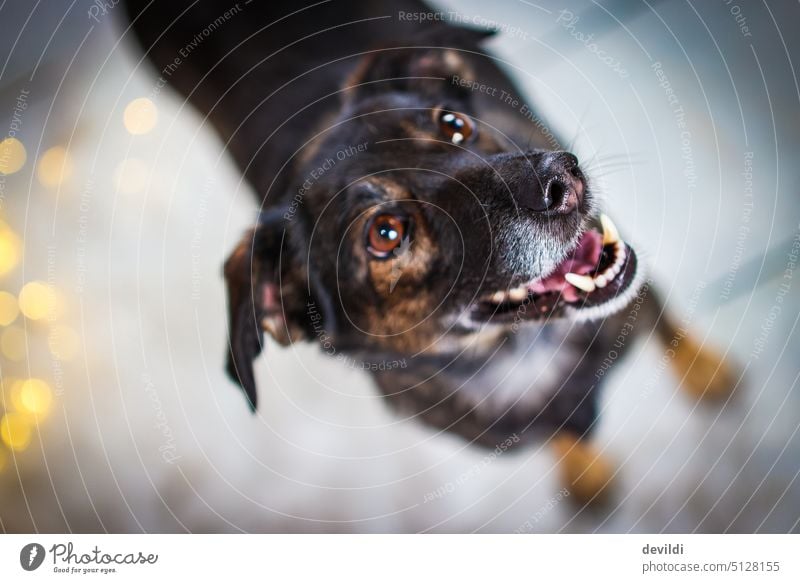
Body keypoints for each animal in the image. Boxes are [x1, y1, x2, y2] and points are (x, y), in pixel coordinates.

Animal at [123, 0, 732, 502]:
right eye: (386, 233)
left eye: (454, 124)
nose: (562, 180)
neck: (518, 354)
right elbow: (564, 435)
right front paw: (585, 471)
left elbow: (664, 320)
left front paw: (706, 370)